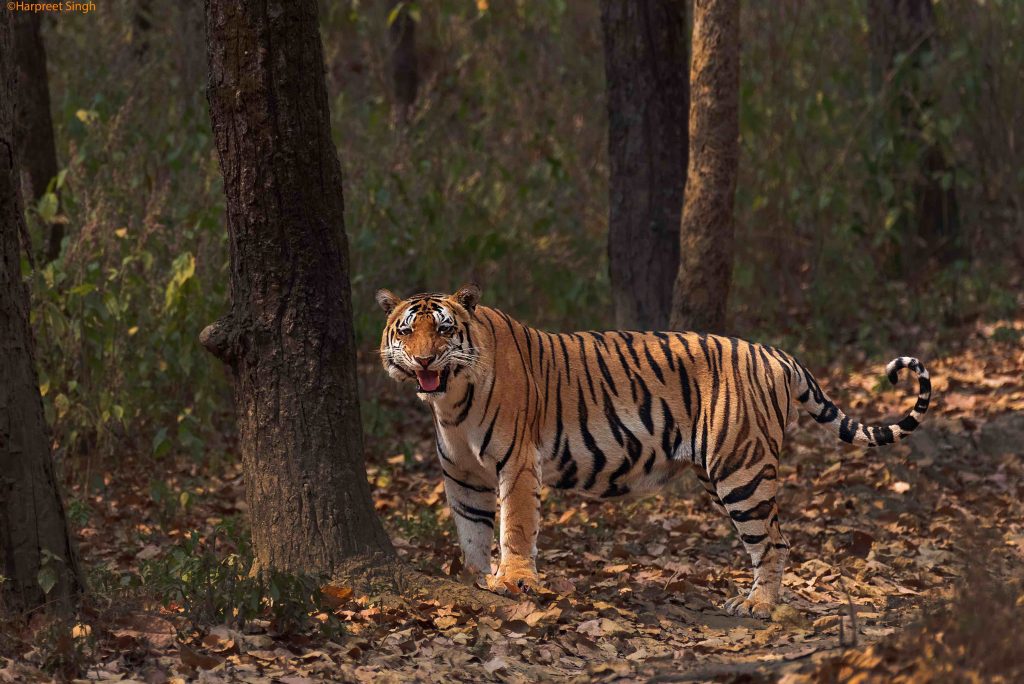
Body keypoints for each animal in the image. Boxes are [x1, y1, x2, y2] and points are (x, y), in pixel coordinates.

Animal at [374, 284, 929, 618]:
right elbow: (471, 531)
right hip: (721, 472)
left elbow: (515, 526)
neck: (450, 400)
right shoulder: (463, 476)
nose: (424, 360)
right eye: (407, 330)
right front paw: (476, 580)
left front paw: (512, 582)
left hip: (741, 471)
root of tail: (776, 353)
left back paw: (758, 606)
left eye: (444, 329)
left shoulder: (518, 463)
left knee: (774, 541)